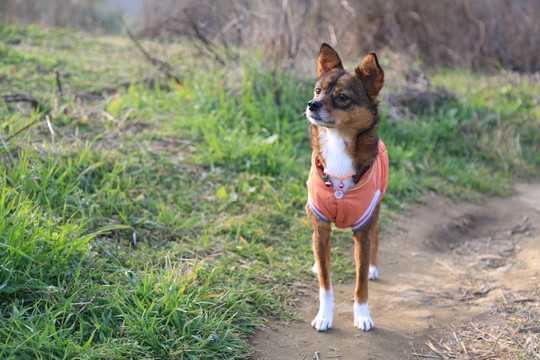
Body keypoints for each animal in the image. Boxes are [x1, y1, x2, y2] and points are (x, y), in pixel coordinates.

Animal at [304, 44, 388, 332]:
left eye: (342, 97)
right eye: (318, 90)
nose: (312, 104)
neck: (336, 142)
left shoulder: (361, 231)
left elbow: (360, 284)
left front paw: (362, 315)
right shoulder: (321, 227)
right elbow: (325, 283)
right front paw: (324, 316)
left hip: (376, 210)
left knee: (376, 236)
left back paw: (373, 268)